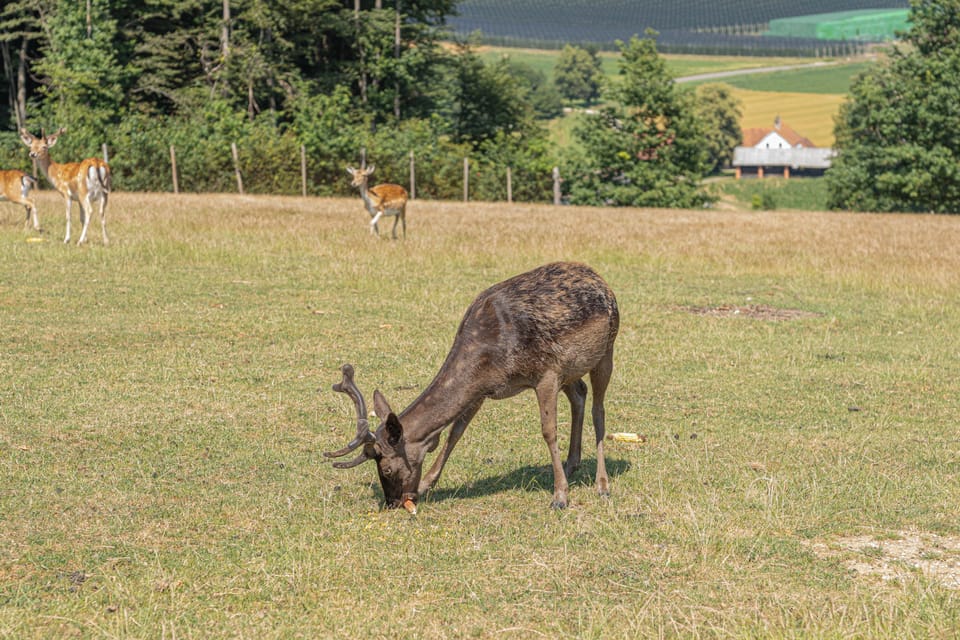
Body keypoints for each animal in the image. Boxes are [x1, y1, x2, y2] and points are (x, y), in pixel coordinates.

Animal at [324, 262, 620, 513]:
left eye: (385, 468)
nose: (392, 502)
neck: (491, 357)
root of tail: (601, 279)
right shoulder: (483, 389)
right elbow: (456, 433)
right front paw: (426, 485)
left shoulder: (546, 374)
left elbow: (548, 431)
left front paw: (559, 497)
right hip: (571, 369)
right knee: (579, 393)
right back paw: (571, 464)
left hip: (606, 348)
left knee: (598, 410)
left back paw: (602, 485)